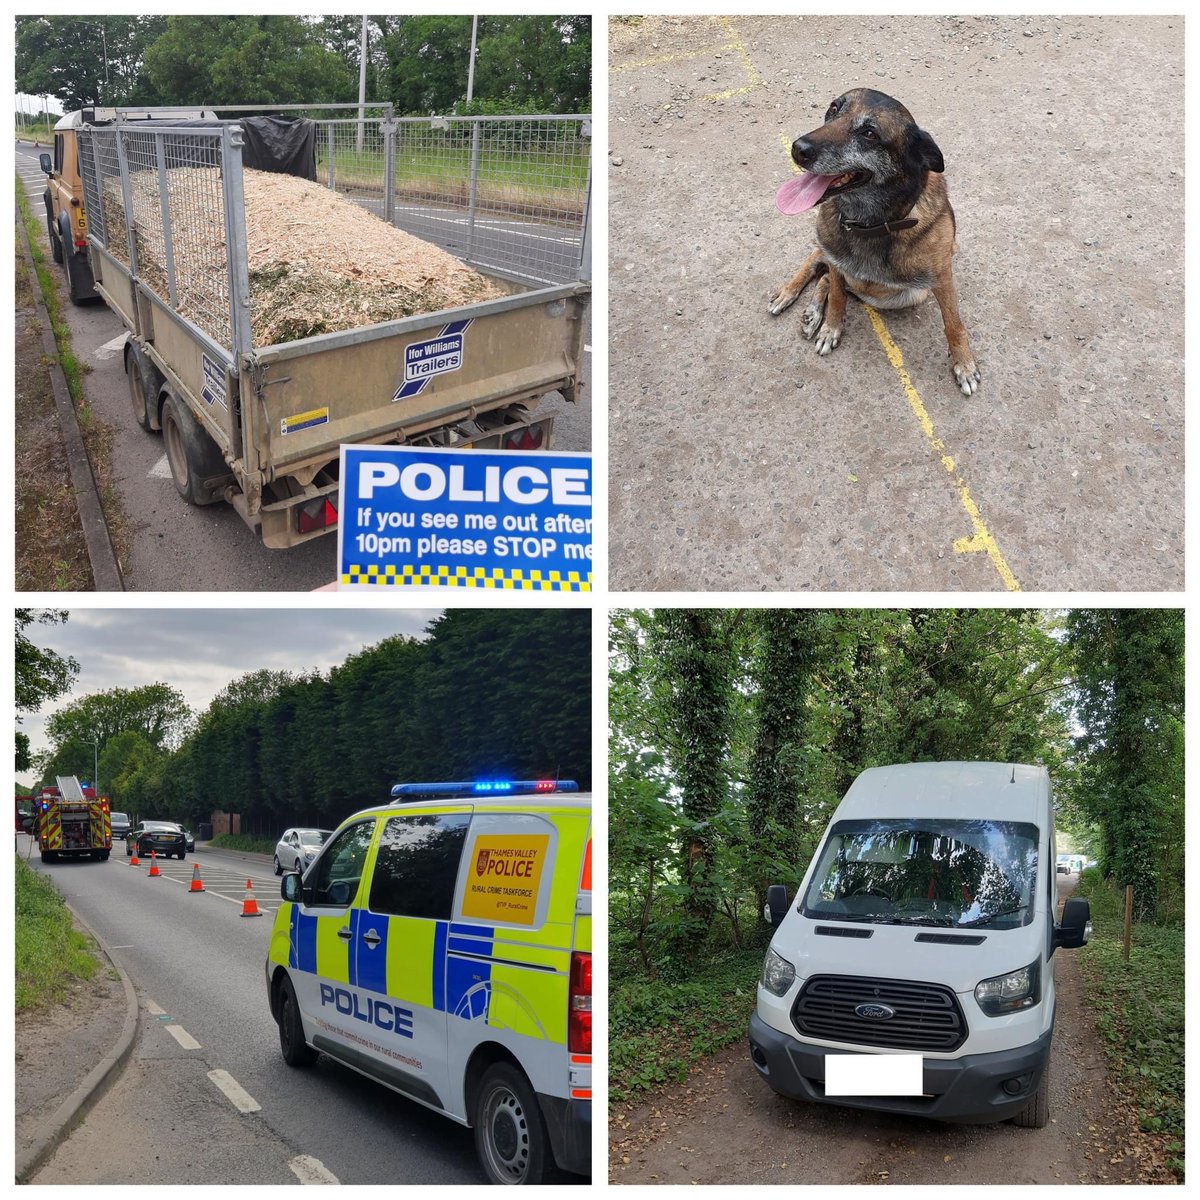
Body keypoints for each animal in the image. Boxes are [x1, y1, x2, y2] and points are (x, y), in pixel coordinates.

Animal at [772, 91, 979, 398]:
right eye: (833, 109)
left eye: (869, 133)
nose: (798, 149)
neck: (869, 224)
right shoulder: (836, 259)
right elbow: (837, 297)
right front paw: (831, 328)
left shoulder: (942, 278)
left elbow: (954, 324)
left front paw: (964, 365)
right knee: (817, 266)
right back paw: (791, 296)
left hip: (910, 294)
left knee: (828, 279)